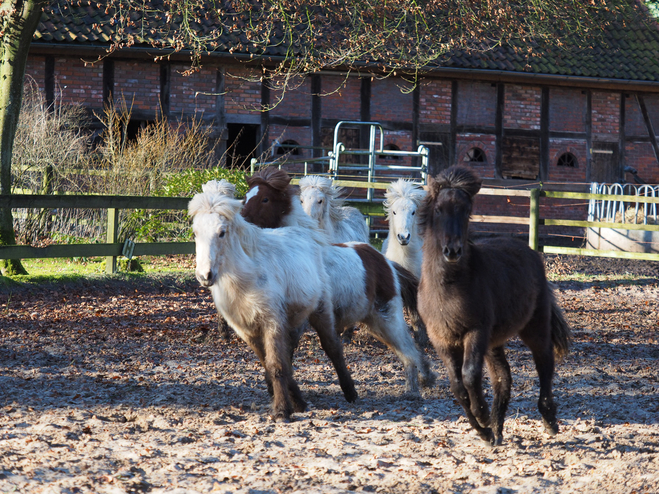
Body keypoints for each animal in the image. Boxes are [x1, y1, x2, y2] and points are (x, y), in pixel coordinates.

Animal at [188, 189, 358, 420]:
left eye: (222, 232)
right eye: (196, 233)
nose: (205, 276)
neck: (244, 278)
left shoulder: (272, 322)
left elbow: (276, 364)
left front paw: (281, 410)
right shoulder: (246, 330)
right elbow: (272, 364)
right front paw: (297, 403)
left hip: (320, 310)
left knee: (333, 348)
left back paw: (350, 392)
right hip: (294, 321)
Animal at [240, 168, 436, 396]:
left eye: (265, 198)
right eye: (246, 196)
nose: (240, 220)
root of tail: (387, 262)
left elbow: (288, 350)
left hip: (387, 316)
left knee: (408, 346)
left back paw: (417, 385)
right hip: (375, 320)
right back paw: (418, 383)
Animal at [418, 167, 572, 448]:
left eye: (466, 210)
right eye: (439, 210)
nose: (452, 251)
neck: (448, 287)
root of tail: (530, 251)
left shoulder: (476, 332)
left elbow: (469, 375)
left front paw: (482, 417)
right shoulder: (441, 339)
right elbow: (457, 386)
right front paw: (484, 430)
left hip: (534, 326)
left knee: (544, 361)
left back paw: (549, 420)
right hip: (494, 341)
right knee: (503, 376)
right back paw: (498, 430)